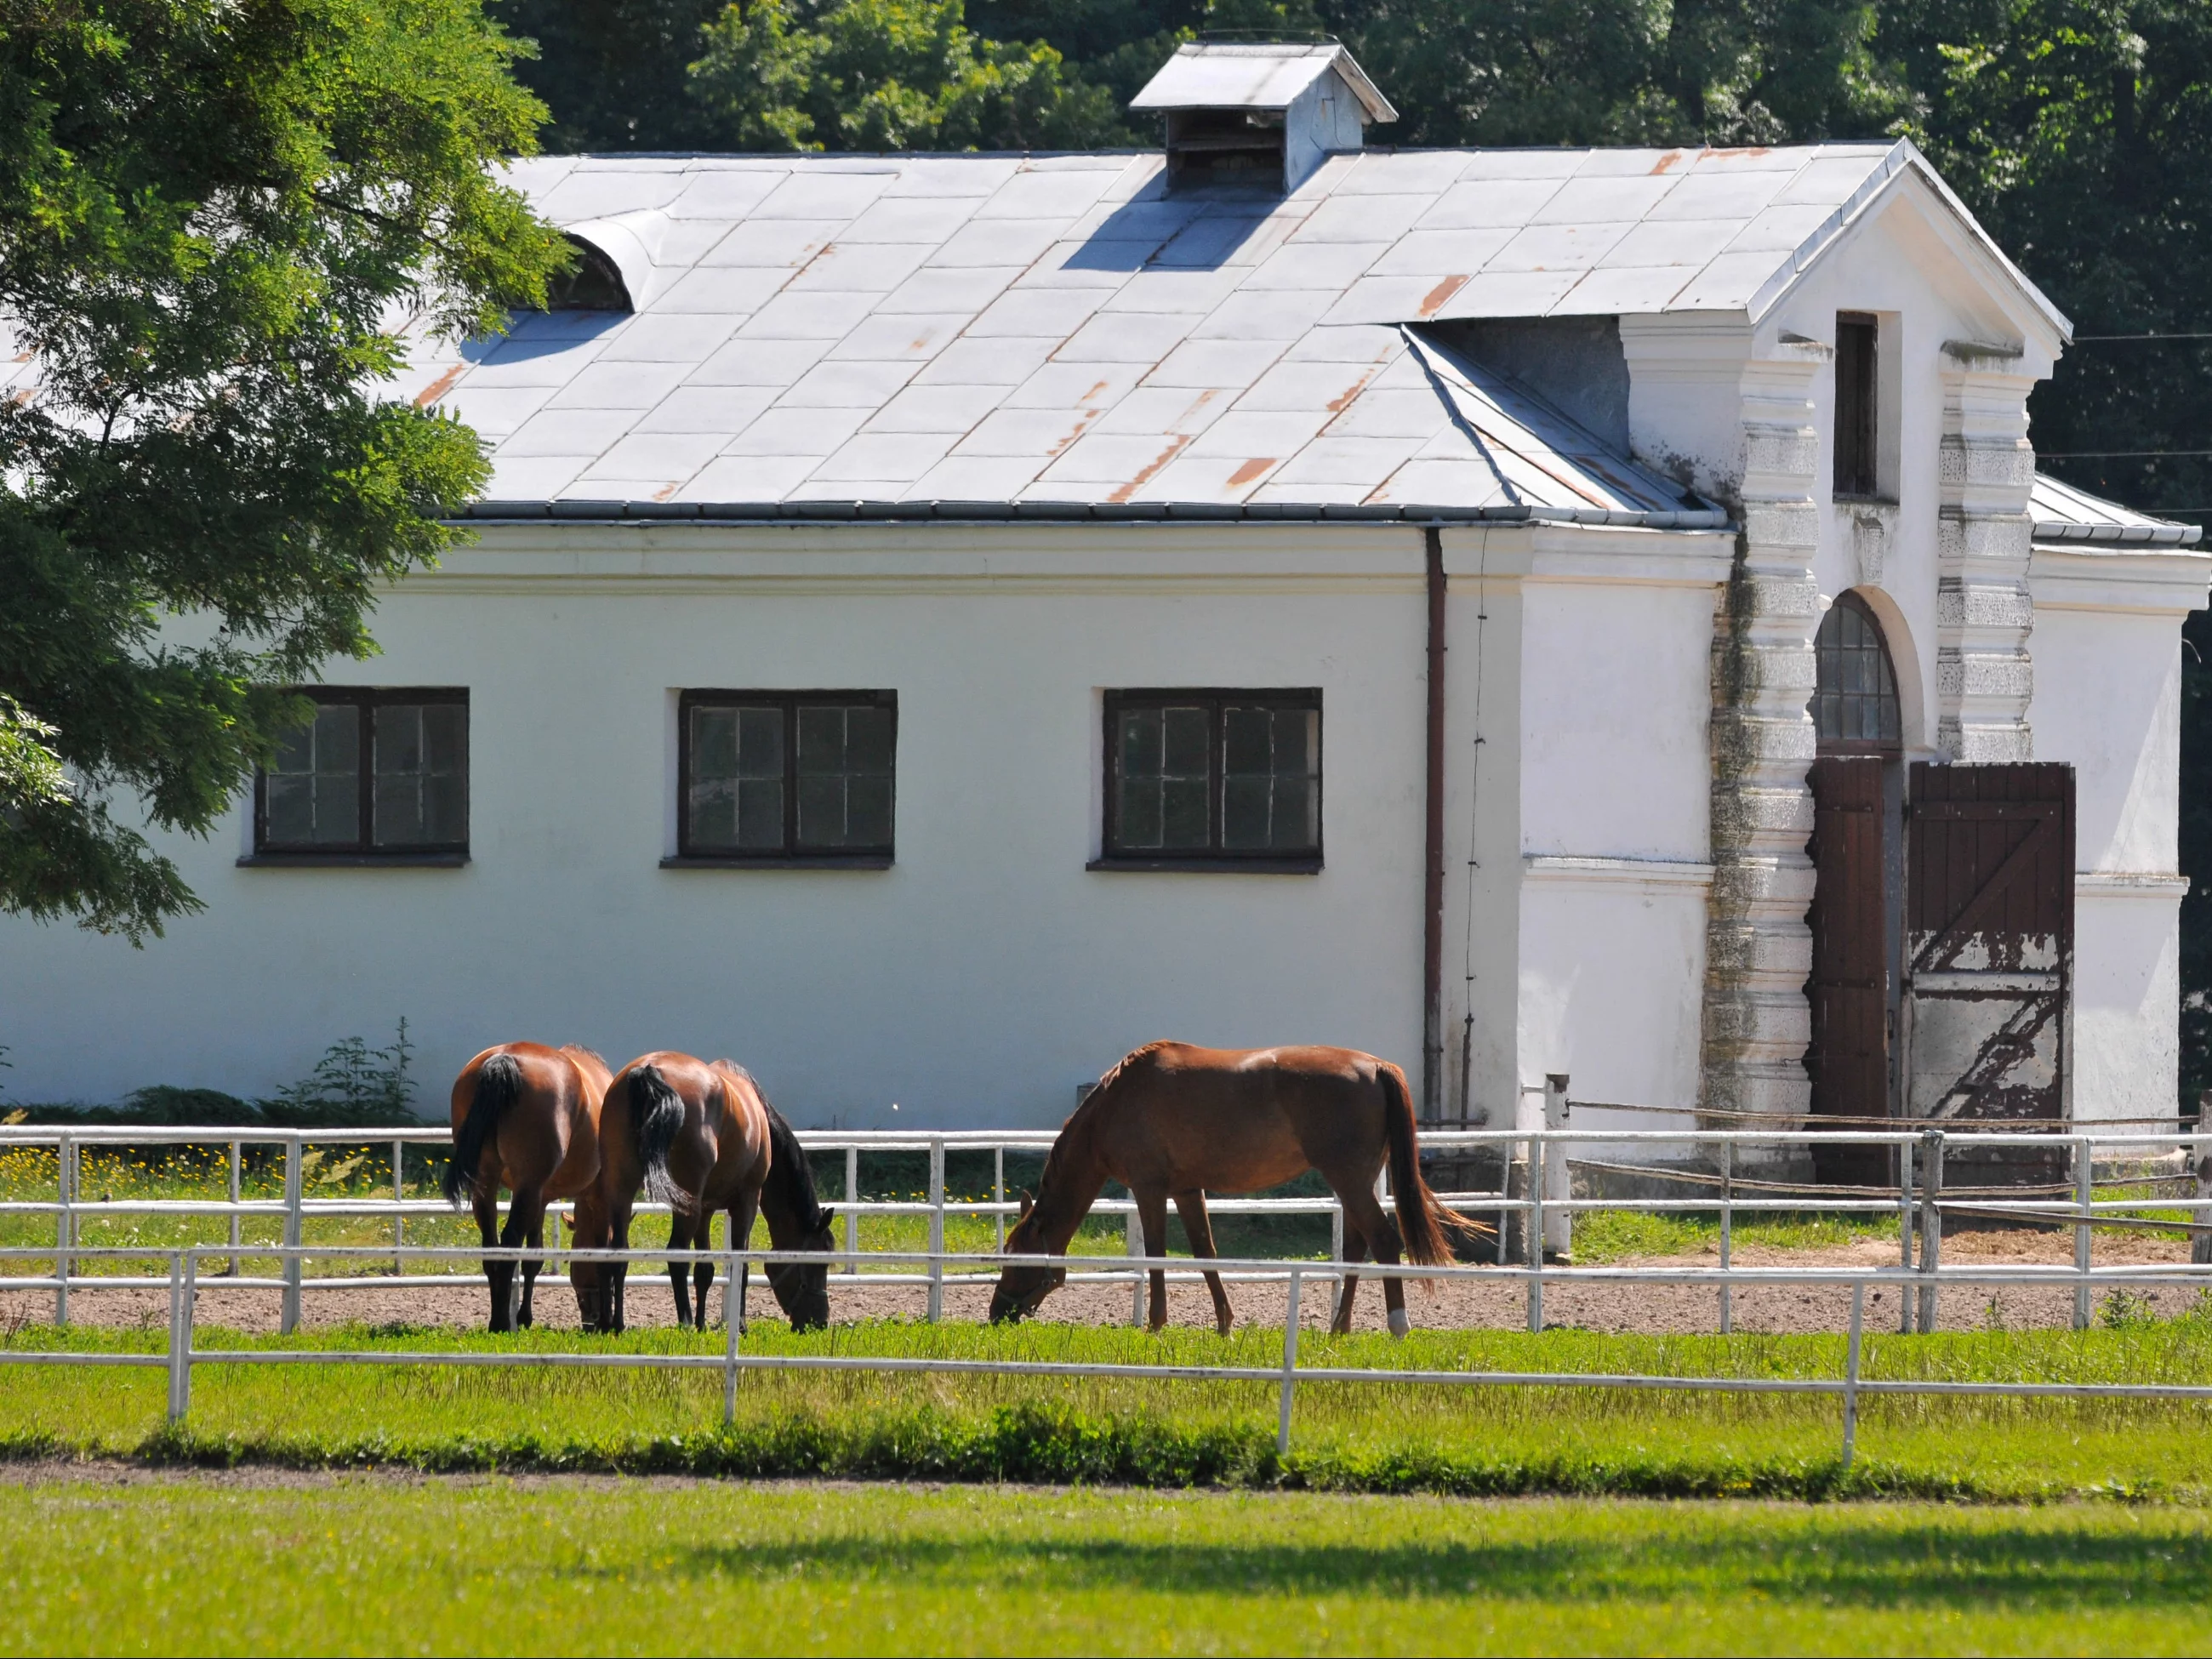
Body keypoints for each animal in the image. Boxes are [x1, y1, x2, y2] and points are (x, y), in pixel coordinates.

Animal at [444, 1040, 614, 1336]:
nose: (591, 1319)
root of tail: (505, 1059)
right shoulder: (597, 1197)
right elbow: (601, 1253)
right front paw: (606, 1322)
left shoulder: (540, 1198)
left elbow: (534, 1258)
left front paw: (524, 1317)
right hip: (527, 1187)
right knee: (510, 1239)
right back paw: (501, 1323)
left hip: (489, 1183)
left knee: (492, 1246)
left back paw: (498, 1320)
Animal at [579, 1057, 835, 1344]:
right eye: (819, 1262)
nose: (820, 1322)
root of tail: (649, 1070)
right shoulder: (747, 1201)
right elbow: (740, 1266)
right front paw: (739, 1326)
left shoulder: (706, 1209)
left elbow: (705, 1270)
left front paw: (704, 1323)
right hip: (684, 1201)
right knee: (676, 1255)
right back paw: (685, 1323)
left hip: (621, 1189)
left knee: (617, 1252)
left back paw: (615, 1324)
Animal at [990, 1044, 1477, 1344]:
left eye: (1014, 1257)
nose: (996, 1313)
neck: (1115, 1103)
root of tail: (1376, 1066)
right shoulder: (1188, 1190)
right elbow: (1205, 1252)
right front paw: (1224, 1325)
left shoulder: (1149, 1189)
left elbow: (1156, 1255)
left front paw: (1156, 1326)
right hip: (1355, 1182)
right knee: (1357, 1247)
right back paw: (1338, 1329)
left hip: (1350, 1180)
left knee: (1383, 1241)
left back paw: (1398, 1326)